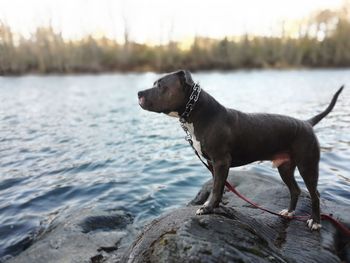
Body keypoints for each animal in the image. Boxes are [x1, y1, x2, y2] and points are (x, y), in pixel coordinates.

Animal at [137, 69, 344, 231]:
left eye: (160, 85)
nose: (139, 92)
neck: (197, 112)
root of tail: (307, 123)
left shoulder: (221, 161)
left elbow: (216, 187)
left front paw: (207, 208)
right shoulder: (213, 163)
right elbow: (218, 186)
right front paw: (214, 206)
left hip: (307, 165)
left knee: (315, 194)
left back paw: (315, 222)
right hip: (285, 167)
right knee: (295, 190)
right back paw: (289, 212)